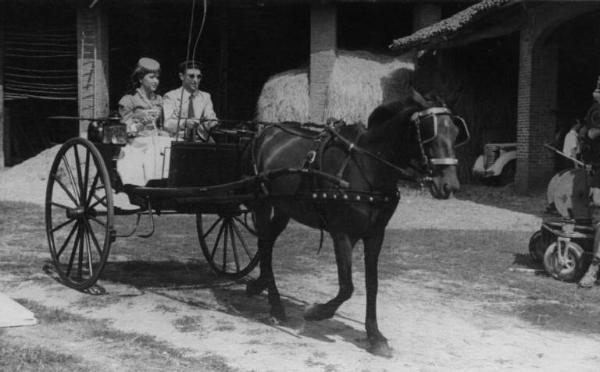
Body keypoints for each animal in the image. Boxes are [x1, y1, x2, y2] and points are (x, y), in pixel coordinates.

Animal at [241, 93, 466, 358]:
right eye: (429, 132)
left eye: (455, 132)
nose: (449, 185)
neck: (367, 166)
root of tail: (265, 132)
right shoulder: (342, 234)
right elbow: (347, 286)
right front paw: (317, 311)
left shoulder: (375, 235)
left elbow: (372, 284)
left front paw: (375, 336)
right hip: (262, 204)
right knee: (265, 245)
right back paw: (275, 306)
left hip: (284, 208)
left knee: (267, 244)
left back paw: (260, 286)